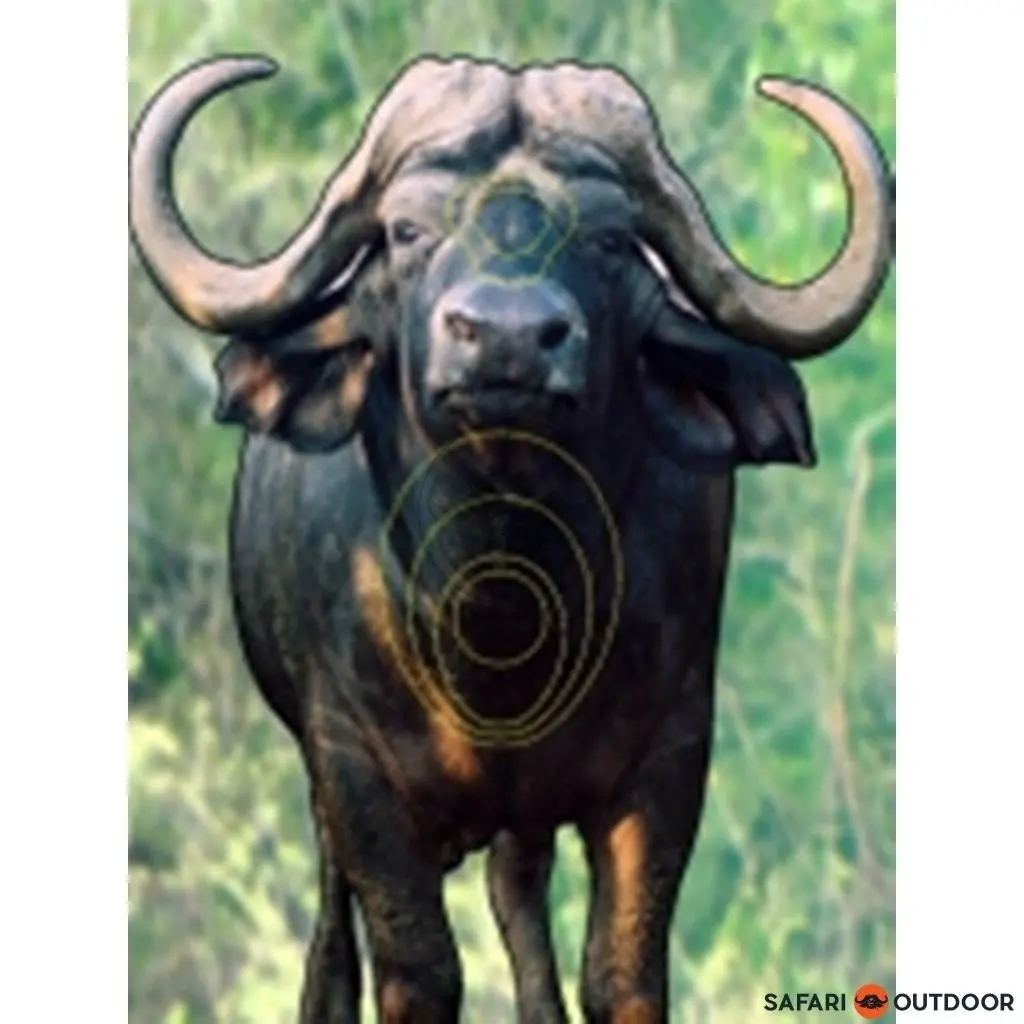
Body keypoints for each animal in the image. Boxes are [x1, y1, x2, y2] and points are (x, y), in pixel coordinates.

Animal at [129, 54, 893, 1024]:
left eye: (609, 238)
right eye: (406, 228)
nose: (506, 337)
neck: (499, 605)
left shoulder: (671, 758)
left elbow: (621, 974)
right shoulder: (353, 772)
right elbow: (419, 973)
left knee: (518, 907)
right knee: (334, 948)